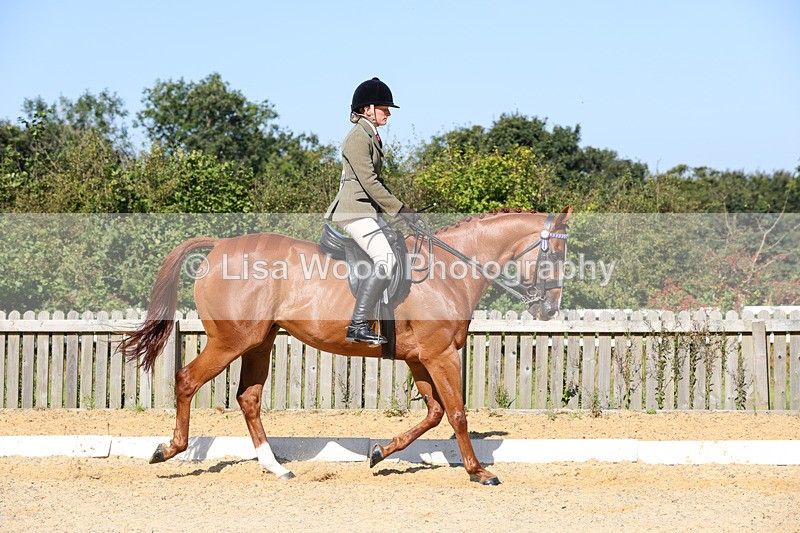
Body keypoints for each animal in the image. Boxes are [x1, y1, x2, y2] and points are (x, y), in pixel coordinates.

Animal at [119, 207, 572, 485]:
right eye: (555, 254)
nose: (550, 308)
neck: (448, 271)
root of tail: (219, 246)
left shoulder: (419, 358)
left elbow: (434, 413)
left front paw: (379, 452)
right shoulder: (440, 355)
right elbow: (458, 414)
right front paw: (479, 472)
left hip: (259, 342)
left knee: (248, 398)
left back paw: (275, 467)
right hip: (231, 341)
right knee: (187, 380)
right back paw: (168, 450)